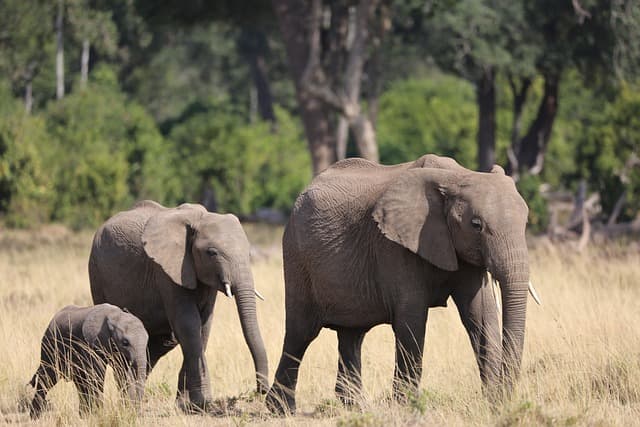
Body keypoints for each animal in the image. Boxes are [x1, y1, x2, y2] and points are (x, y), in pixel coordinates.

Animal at [88, 202, 268, 412]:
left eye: (249, 253)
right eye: (212, 253)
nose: (261, 390)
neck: (200, 218)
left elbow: (203, 327)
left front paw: (187, 405)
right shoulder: (166, 271)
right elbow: (189, 325)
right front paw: (202, 403)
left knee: (159, 343)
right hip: (96, 273)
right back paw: (127, 404)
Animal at [268, 155, 536, 414]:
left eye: (525, 222)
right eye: (476, 224)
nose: (504, 400)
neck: (455, 177)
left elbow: (481, 316)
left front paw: (493, 405)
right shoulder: (396, 246)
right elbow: (412, 320)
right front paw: (407, 407)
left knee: (352, 335)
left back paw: (355, 408)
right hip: (297, 256)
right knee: (300, 334)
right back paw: (281, 410)